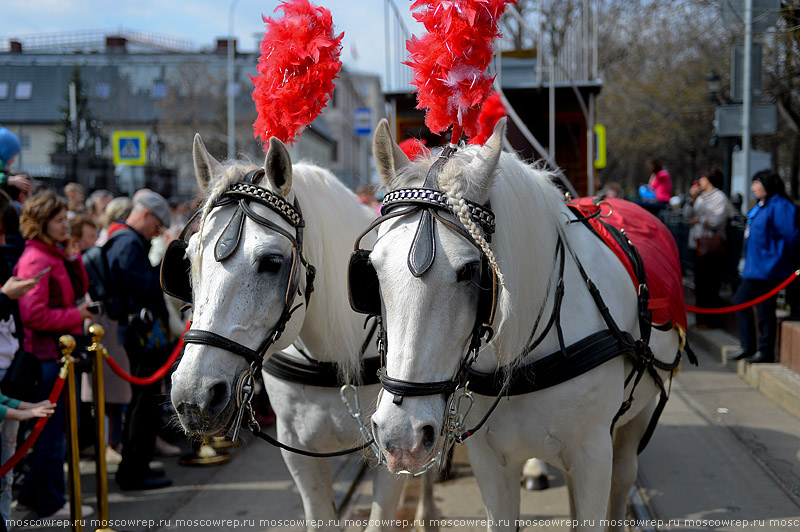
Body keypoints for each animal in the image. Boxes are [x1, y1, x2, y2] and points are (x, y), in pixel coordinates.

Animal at [170, 135, 438, 528]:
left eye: (271, 262)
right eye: (188, 260)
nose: (193, 397)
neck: (331, 353)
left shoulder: (393, 444)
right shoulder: (298, 450)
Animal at [362, 118, 680, 528]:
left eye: (471, 272)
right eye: (372, 268)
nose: (402, 436)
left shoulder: (593, 455)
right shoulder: (491, 462)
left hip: (635, 421)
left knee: (623, 477)